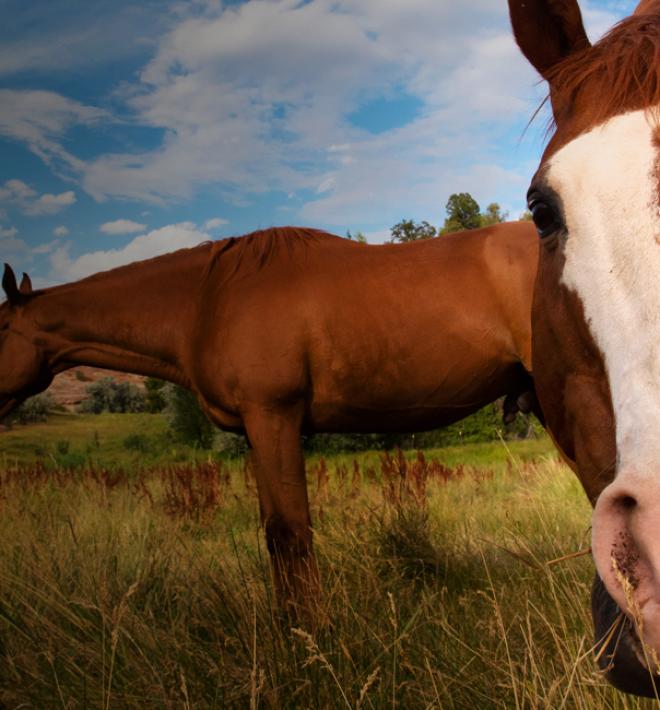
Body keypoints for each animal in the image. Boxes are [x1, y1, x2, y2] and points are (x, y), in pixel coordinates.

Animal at [0, 224, 536, 616]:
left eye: (0, 325)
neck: (206, 301)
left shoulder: (274, 418)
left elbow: (291, 534)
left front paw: (313, 635)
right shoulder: (254, 432)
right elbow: (274, 536)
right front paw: (289, 628)